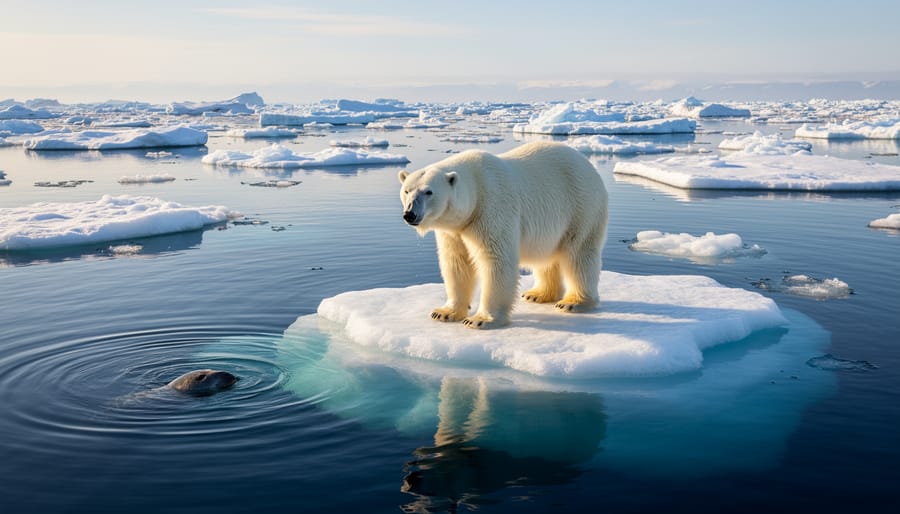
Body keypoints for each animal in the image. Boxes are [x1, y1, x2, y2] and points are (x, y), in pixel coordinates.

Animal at [398, 141, 608, 329]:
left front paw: (480, 320)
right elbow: (456, 263)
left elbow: (496, 260)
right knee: (547, 258)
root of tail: (587, 163)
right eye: (407, 190)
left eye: (429, 192)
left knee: (579, 253)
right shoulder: (455, 230)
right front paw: (444, 313)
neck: (476, 189)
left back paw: (573, 302)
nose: (410, 214)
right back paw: (538, 294)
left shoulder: (491, 209)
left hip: (581, 205)